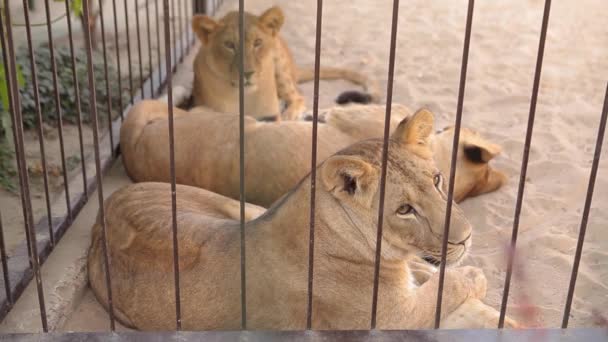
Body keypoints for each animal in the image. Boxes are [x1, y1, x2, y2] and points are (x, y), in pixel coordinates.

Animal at [188, 5, 378, 121]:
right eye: (229, 45)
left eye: (257, 42)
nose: (247, 73)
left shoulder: (270, 116)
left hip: (280, 65)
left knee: (298, 96)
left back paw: (290, 114)